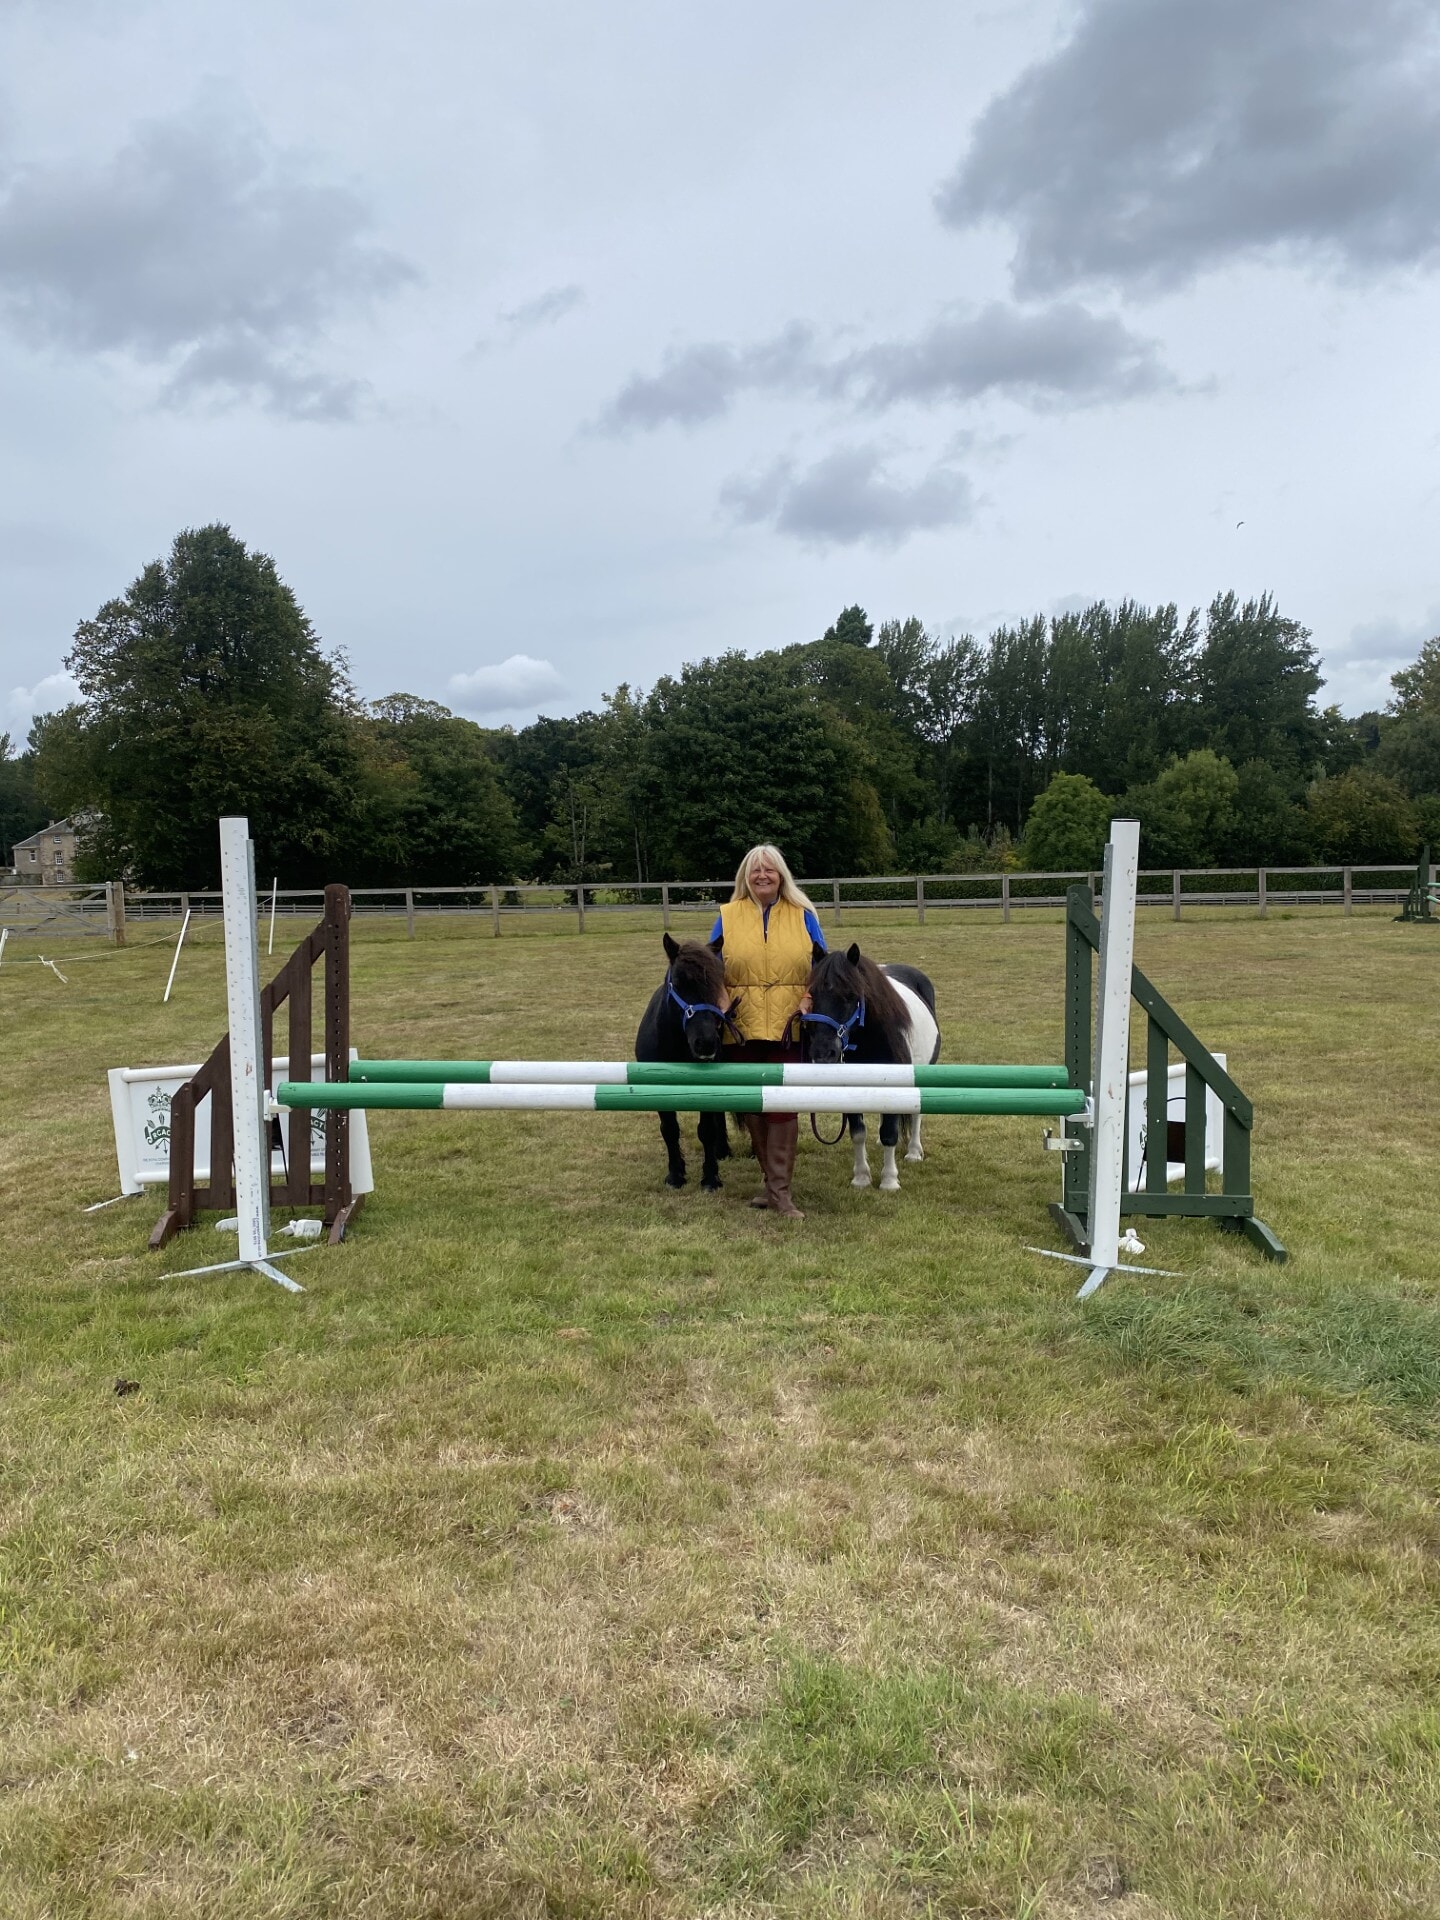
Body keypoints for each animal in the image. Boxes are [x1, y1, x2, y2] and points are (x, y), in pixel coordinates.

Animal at [634, 934, 735, 1191]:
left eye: (718, 983)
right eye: (678, 983)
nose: (706, 1043)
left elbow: (706, 1130)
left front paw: (711, 1178)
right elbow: (670, 1130)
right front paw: (675, 1174)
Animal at [802, 944, 941, 1192]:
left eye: (851, 995)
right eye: (812, 994)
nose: (823, 1053)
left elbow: (890, 1134)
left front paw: (889, 1180)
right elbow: (858, 1133)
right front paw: (861, 1177)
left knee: (916, 1114)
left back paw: (914, 1152)